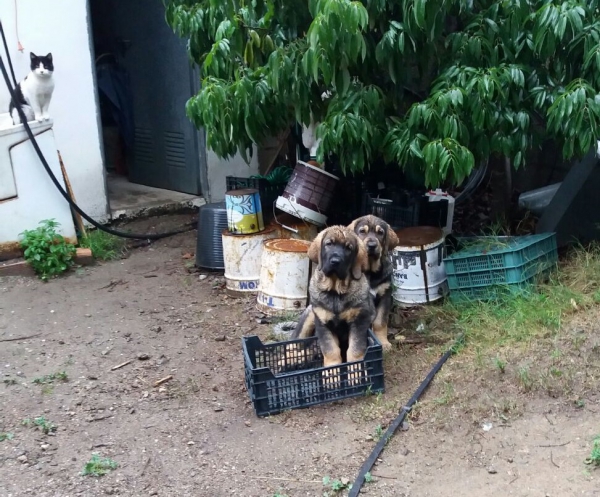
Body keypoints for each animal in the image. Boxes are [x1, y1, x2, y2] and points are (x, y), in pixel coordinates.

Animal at [290, 225, 376, 372]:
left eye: (349, 248)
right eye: (329, 244)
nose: (335, 261)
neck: (335, 291)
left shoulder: (359, 321)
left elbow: (355, 350)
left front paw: (356, 373)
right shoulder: (322, 323)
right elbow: (331, 351)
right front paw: (331, 373)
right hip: (308, 319)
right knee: (293, 344)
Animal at [346, 215, 398, 350]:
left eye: (380, 233)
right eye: (362, 231)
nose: (372, 245)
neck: (370, 272)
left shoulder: (385, 296)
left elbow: (380, 322)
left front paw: (383, 342)